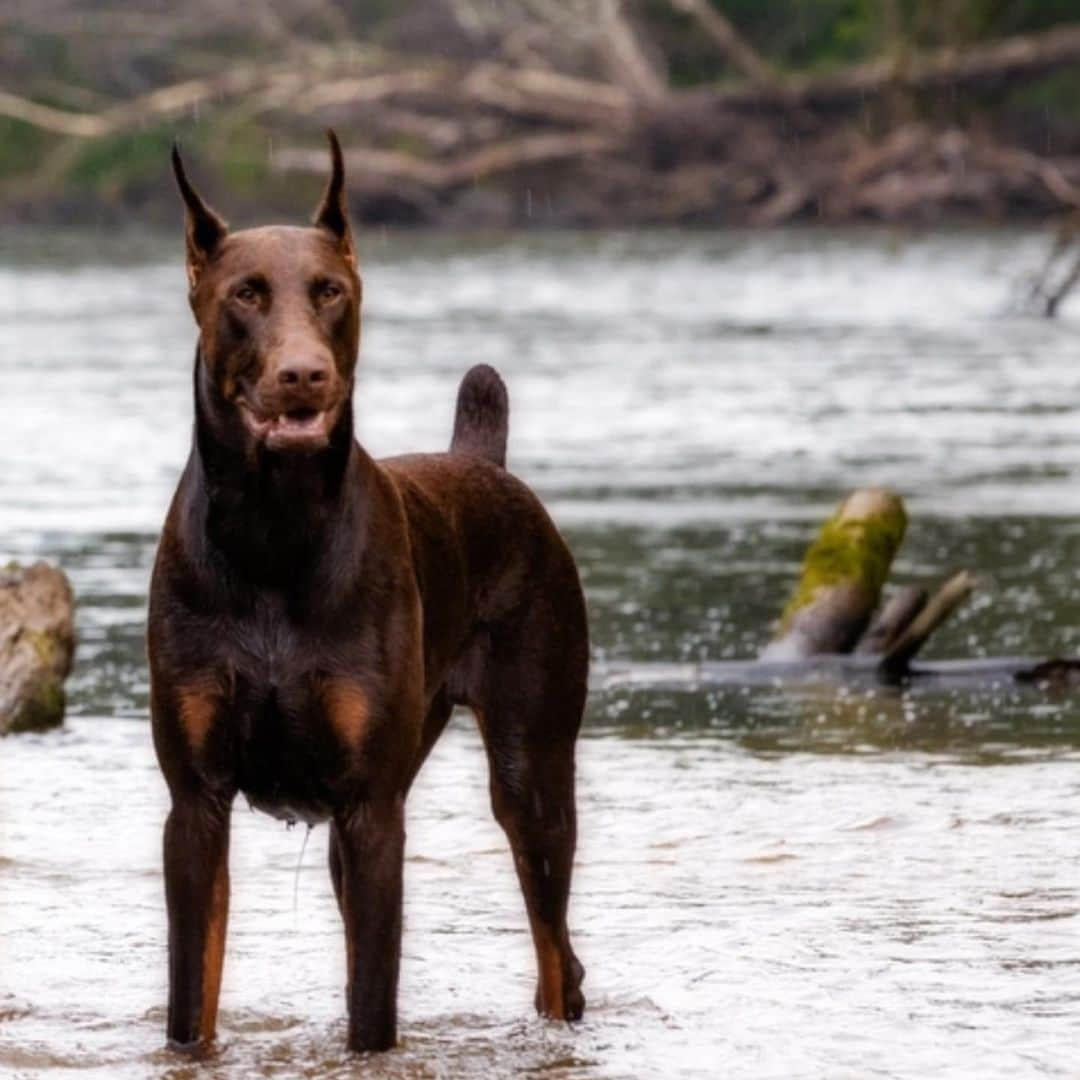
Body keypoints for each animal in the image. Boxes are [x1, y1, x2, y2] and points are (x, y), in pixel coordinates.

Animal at [147, 132, 587, 1054]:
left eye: (331, 291)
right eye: (245, 293)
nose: (304, 375)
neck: (273, 536)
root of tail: (484, 463)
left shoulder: (372, 810)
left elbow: (372, 1013)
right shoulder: (195, 804)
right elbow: (189, 1000)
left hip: (530, 768)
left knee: (558, 955)